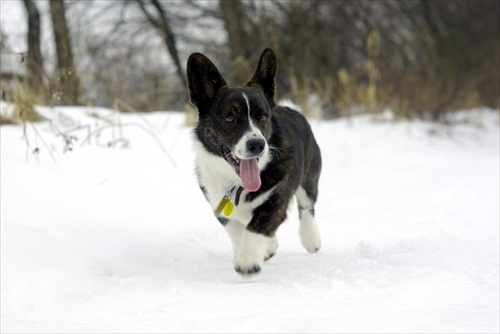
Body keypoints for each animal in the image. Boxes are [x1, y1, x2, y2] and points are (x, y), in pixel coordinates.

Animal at [186, 47, 322, 276]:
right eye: (230, 118)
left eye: (264, 117)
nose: (257, 144)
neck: (236, 184)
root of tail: (290, 109)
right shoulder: (219, 206)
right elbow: (236, 231)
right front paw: (254, 252)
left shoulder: (277, 200)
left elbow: (257, 226)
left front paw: (248, 260)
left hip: (310, 174)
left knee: (307, 205)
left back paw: (311, 238)